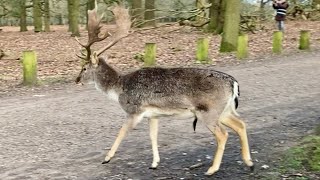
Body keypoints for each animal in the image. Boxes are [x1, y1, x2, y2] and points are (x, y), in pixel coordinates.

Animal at [74, 2, 252, 175]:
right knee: (241, 124)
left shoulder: (134, 110)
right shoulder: (153, 115)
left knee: (223, 134)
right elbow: (153, 136)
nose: (76, 80)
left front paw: (107, 158)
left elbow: (122, 132)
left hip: (208, 110)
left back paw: (212, 169)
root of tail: (233, 83)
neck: (120, 88)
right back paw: (249, 162)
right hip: (223, 110)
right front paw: (154, 163)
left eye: (84, 68)